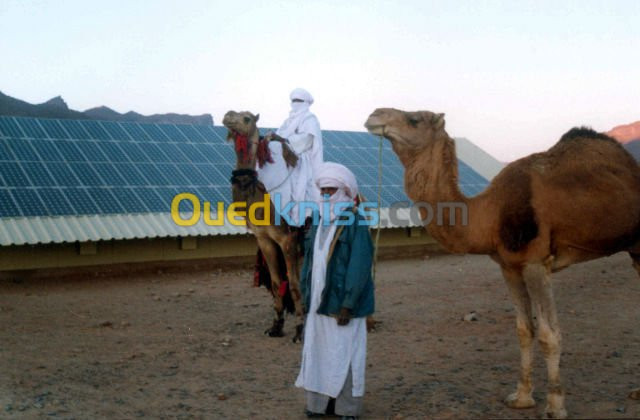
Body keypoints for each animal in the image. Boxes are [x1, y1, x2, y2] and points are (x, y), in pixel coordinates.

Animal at [221, 110, 304, 342]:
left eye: (247, 118)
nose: (227, 116)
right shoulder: (265, 239)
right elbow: (276, 283)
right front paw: (276, 327)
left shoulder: (287, 239)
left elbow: (294, 284)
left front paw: (299, 331)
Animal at [364, 107, 640, 416]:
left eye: (414, 119)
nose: (375, 115)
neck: (489, 214)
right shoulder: (509, 267)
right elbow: (524, 329)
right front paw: (521, 397)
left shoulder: (536, 262)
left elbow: (549, 334)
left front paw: (555, 406)